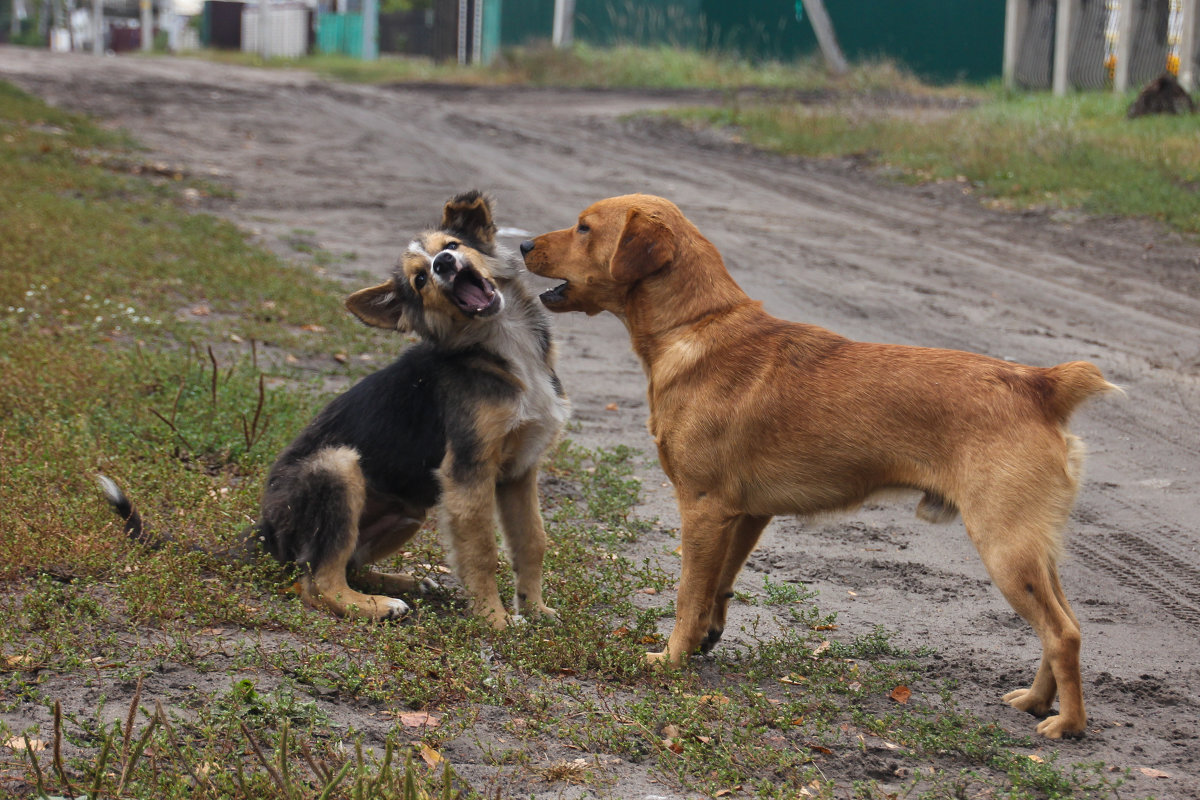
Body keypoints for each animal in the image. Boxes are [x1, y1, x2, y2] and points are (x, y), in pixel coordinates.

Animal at [105, 190, 568, 628]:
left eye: (452, 245)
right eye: (420, 280)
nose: (443, 264)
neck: (502, 345)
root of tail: (264, 531)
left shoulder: (519, 470)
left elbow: (532, 540)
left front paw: (536, 610)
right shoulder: (467, 472)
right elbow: (484, 552)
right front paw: (495, 620)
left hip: (408, 510)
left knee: (344, 564)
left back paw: (405, 582)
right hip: (338, 468)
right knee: (317, 581)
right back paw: (377, 606)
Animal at [520, 194, 1118, 738]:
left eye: (584, 227)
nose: (523, 245)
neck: (695, 325)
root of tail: (1040, 384)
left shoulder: (702, 508)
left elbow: (689, 593)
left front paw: (670, 658)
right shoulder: (744, 515)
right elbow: (720, 584)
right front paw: (706, 637)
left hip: (1004, 545)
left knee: (1062, 633)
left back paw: (1068, 724)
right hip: (1033, 548)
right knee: (1064, 625)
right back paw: (1036, 701)